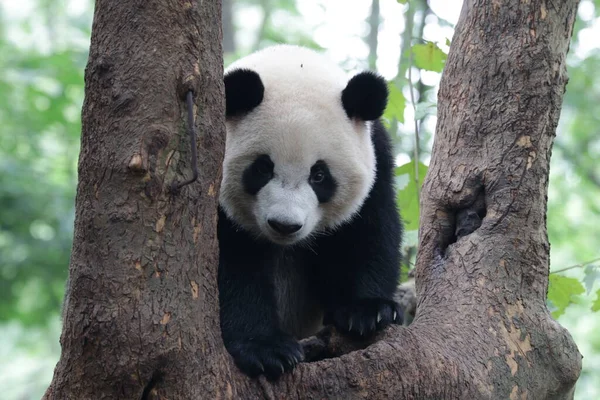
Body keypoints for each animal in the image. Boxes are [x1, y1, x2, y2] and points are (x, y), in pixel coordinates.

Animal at [217, 45, 404, 380]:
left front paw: (368, 311)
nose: (284, 225)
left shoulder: (377, 159)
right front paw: (267, 350)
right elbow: (231, 266)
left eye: (319, 175)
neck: (294, 62)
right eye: (262, 168)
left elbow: (369, 232)